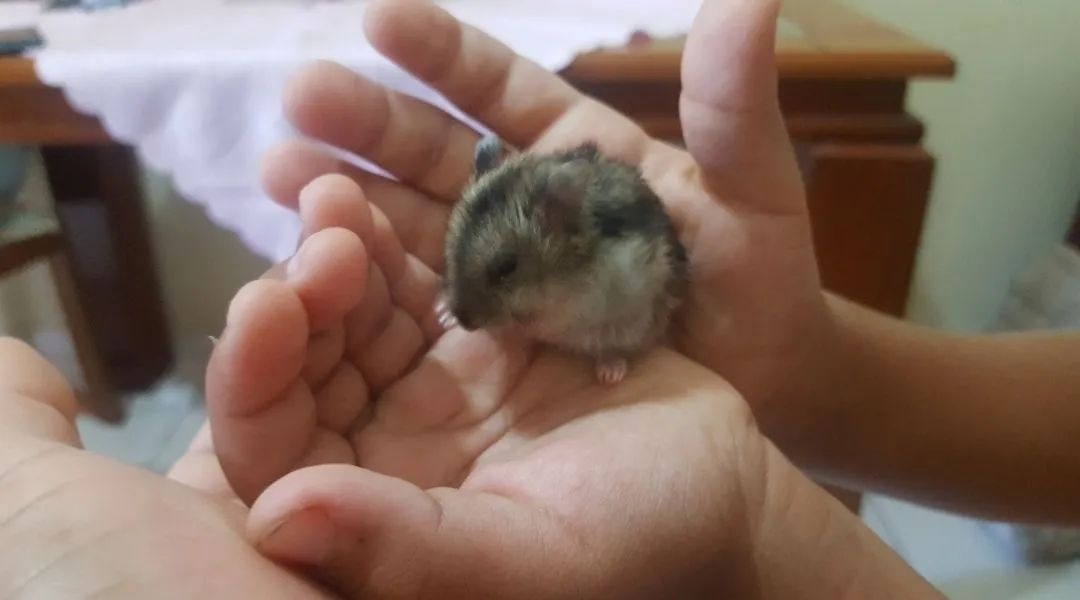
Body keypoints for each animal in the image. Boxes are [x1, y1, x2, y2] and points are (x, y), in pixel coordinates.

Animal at [437, 135, 689, 384]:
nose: (464, 322)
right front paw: (443, 314)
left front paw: (610, 375)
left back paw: (610, 372)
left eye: (506, 267)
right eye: (450, 248)